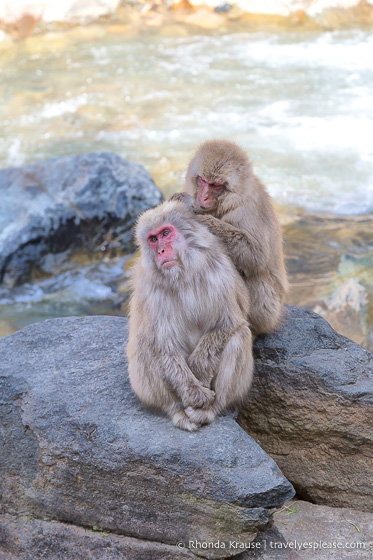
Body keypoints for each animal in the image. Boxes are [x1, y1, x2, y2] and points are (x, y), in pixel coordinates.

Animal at [127, 199, 253, 430]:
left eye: (166, 233)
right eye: (153, 239)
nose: (161, 251)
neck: (183, 275)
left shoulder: (219, 273)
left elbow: (227, 324)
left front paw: (199, 370)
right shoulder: (151, 291)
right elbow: (163, 344)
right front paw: (195, 394)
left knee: (239, 335)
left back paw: (211, 409)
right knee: (143, 343)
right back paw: (176, 410)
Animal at [171, 140, 288, 336]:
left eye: (216, 186)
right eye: (203, 181)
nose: (203, 197)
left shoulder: (249, 208)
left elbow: (255, 255)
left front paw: (199, 218)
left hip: (269, 309)